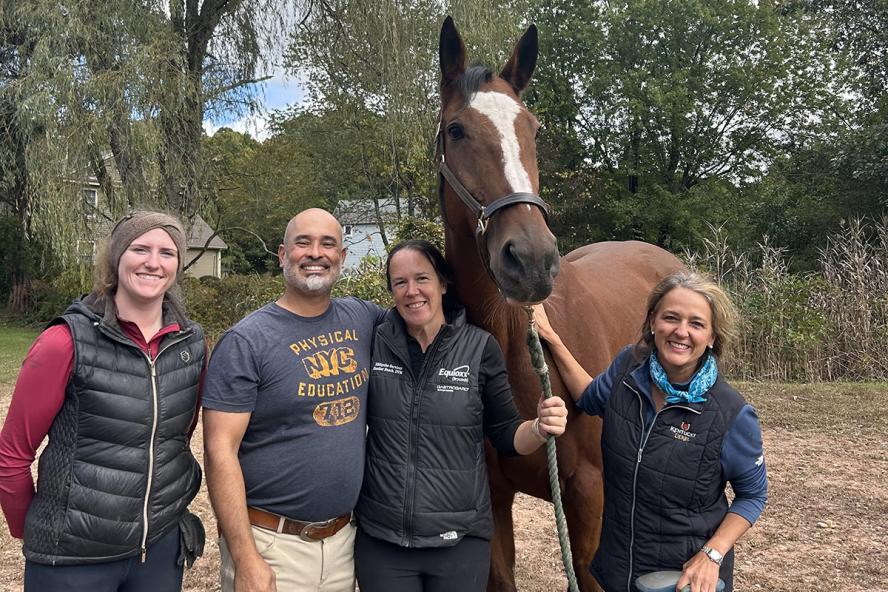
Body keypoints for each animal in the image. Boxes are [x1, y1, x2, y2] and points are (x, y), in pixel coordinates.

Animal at [436, 17, 683, 592]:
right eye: (456, 130)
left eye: (534, 130)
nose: (531, 259)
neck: (515, 347)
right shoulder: (493, 499)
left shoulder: (587, 495)